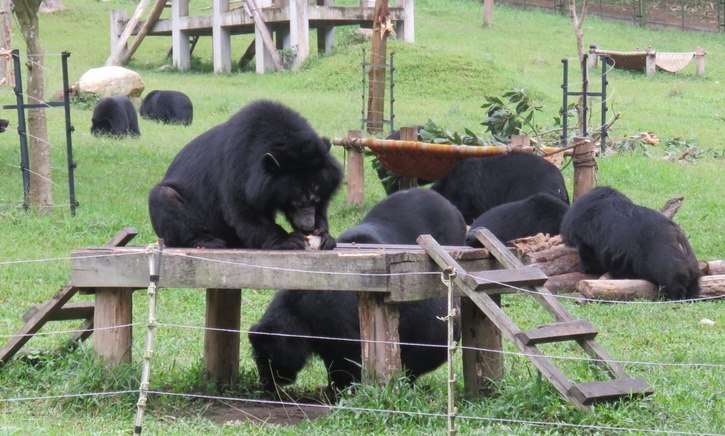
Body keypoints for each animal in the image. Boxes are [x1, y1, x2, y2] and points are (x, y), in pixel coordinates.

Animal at [148, 99, 344, 249]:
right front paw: (289, 240)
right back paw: (209, 241)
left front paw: (324, 236)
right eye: (294, 201)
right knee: (164, 198)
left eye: (315, 198)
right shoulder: (238, 169)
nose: (308, 226)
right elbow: (244, 210)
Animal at [249, 187, 464, 396]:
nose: (266, 383)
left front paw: (337, 390)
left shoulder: (338, 321)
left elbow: (347, 358)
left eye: (264, 359)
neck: (302, 315)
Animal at [556, 186, 700, 302]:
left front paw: (587, 268)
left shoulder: (586, 236)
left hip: (666, 262)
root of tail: (677, 235)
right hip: (690, 263)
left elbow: (590, 254)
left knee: (672, 281)